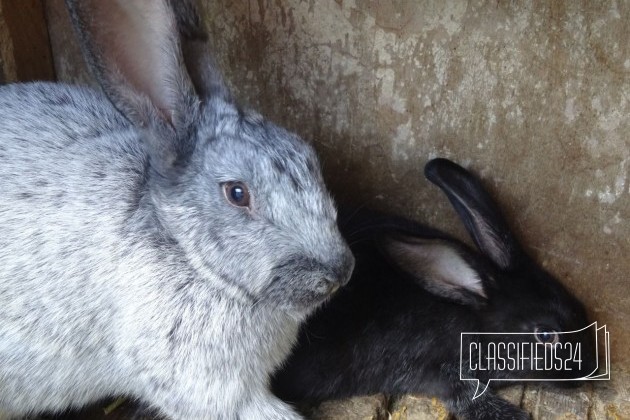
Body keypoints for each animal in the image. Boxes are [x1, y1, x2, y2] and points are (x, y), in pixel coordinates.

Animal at [274, 159, 600, 418]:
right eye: (545, 335)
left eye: (579, 308)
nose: (589, 371)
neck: (470, 318)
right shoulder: (435, 370)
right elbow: (464, 393)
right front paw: (514, 415)